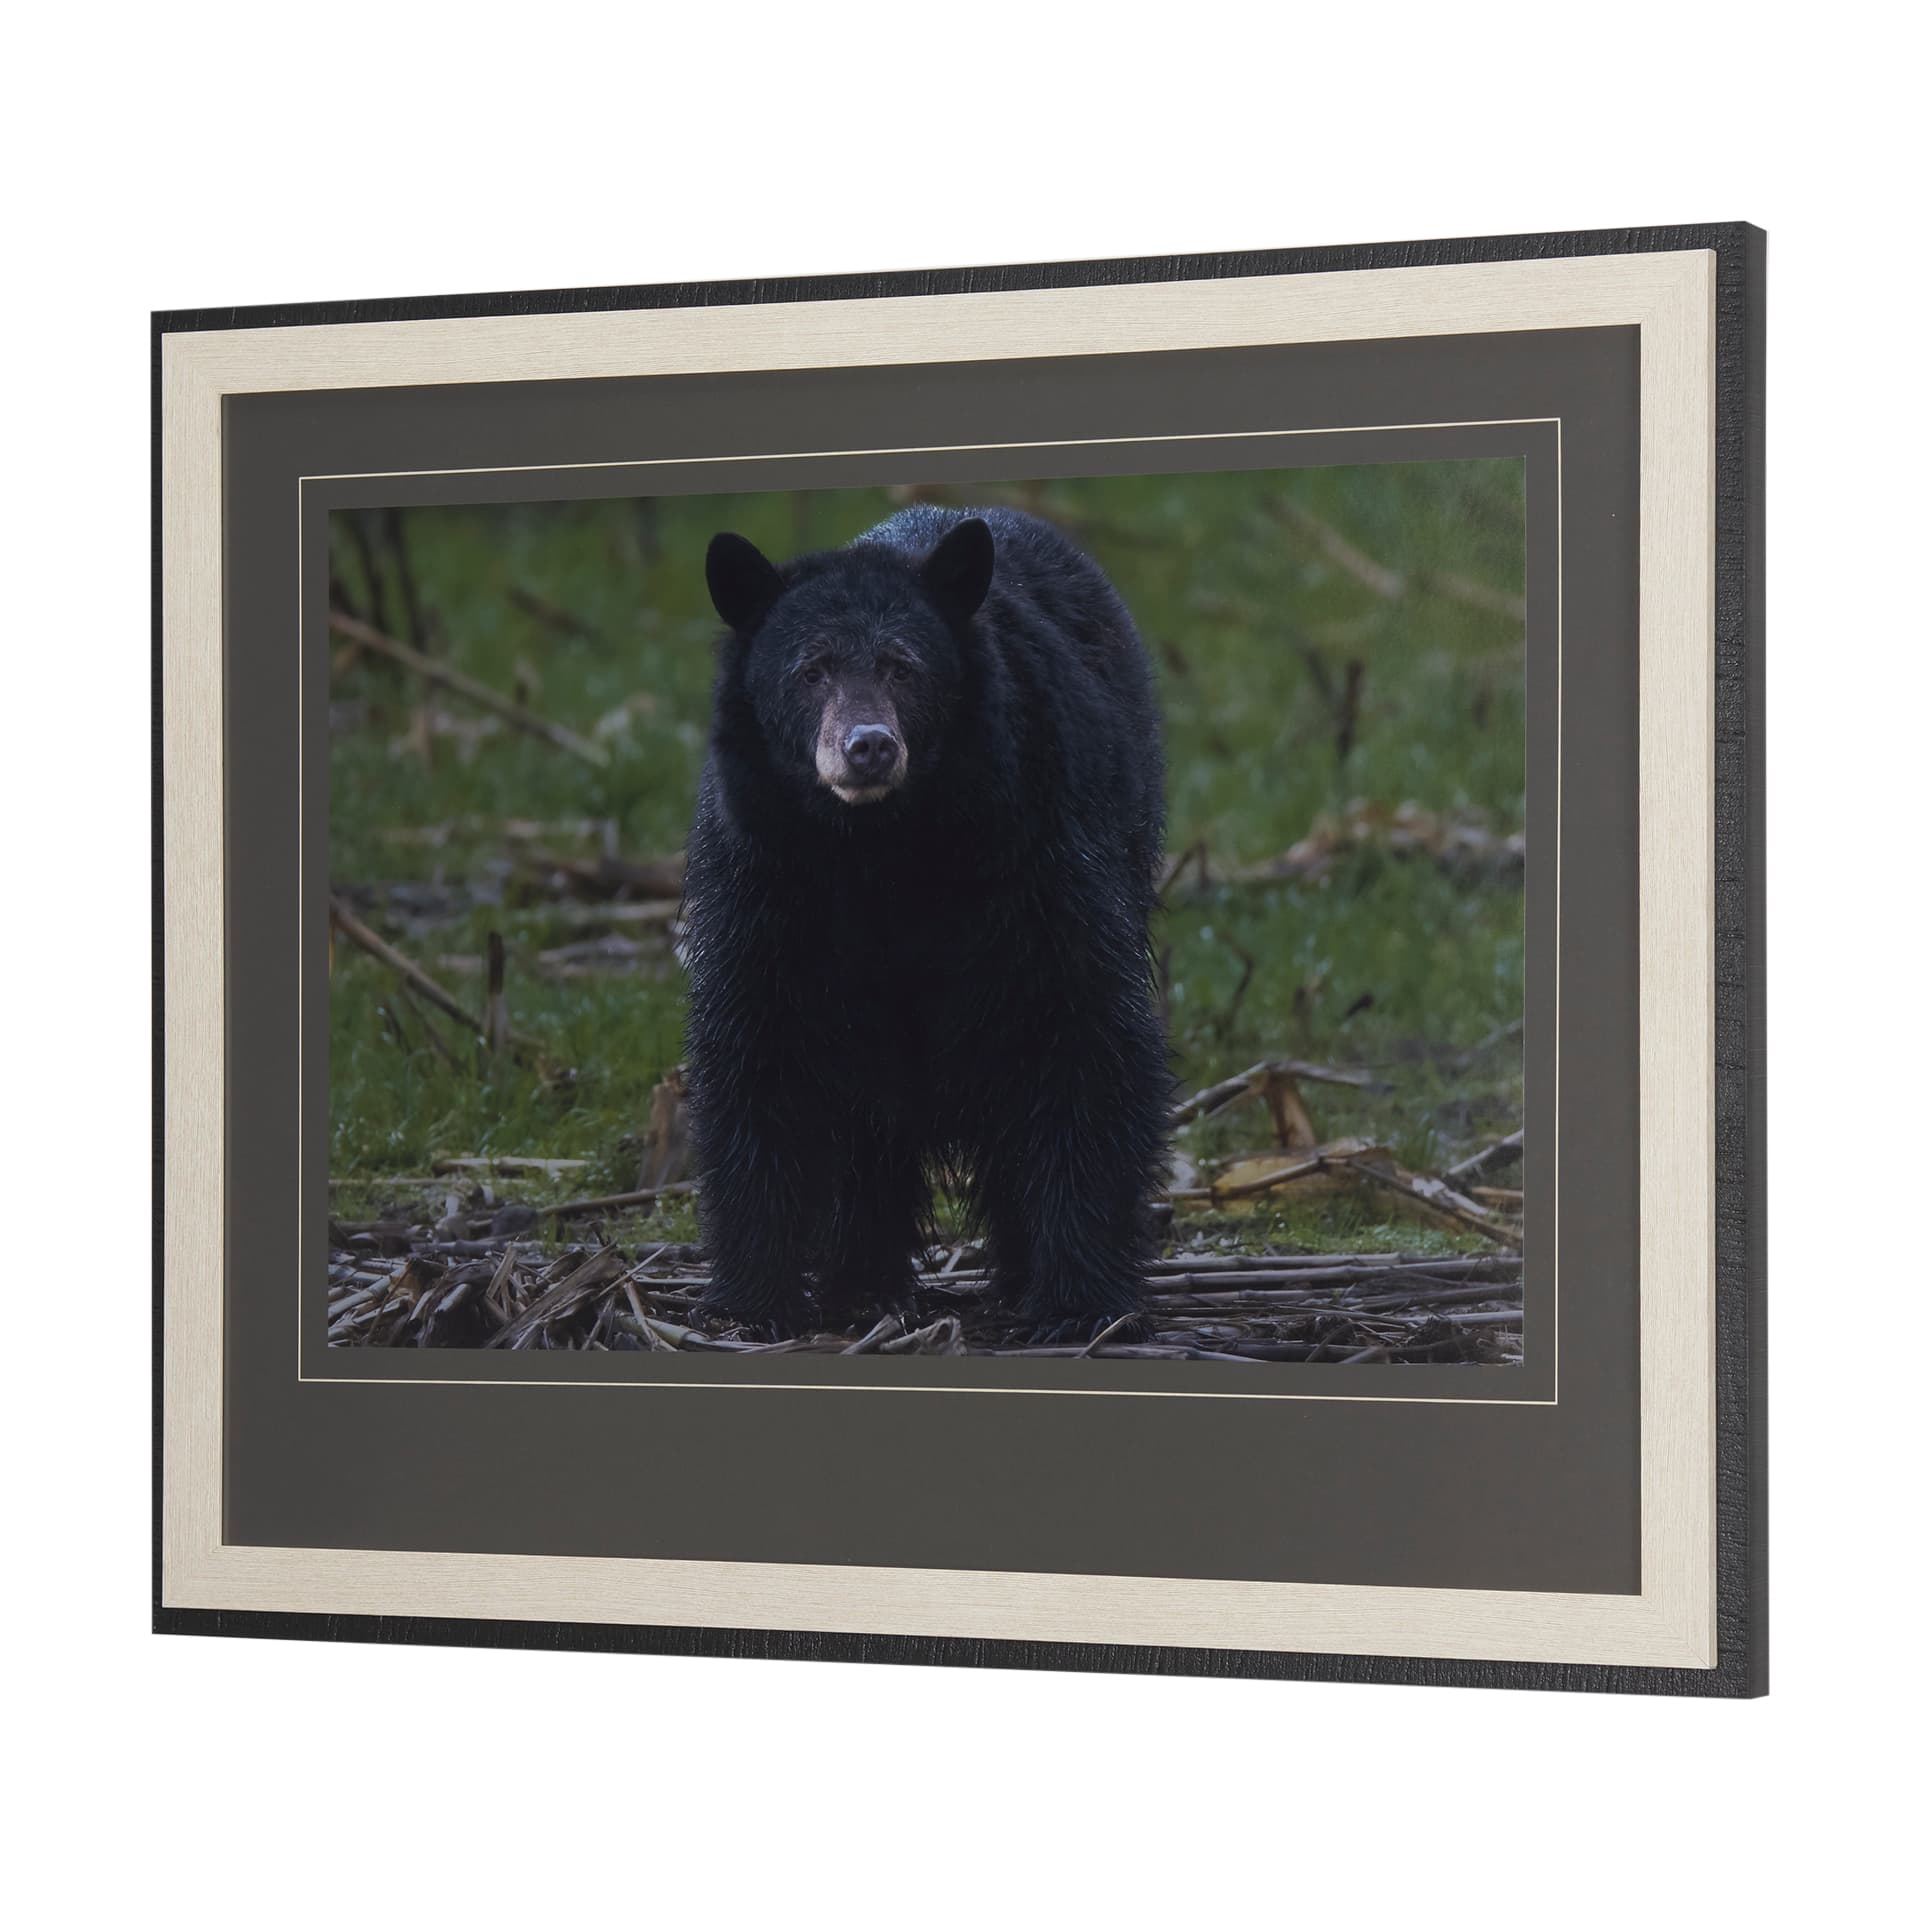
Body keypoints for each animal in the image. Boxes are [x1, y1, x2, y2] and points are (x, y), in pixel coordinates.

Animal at [681, 503, 1170, 1335]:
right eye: (811, 670)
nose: (868, 748)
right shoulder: (765, 880)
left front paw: (1077, 1299)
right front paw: (755, 1298)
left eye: (903, 667)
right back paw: (866, 1282)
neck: (885, 850)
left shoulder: (1039, 849)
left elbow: (1082, 1035)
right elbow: (760, 1051)